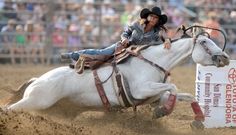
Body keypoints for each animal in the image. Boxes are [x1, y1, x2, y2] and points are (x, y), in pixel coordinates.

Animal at [6, 30, 229, 129]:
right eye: (204, 41)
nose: (225, 58)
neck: (153, 61)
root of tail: (37, 80)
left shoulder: (154, 95)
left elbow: (187, 95)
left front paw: (198, 120)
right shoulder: (142, 89)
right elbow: (173, 87)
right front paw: (161, 112)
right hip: (36, 100)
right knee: (9, 109)